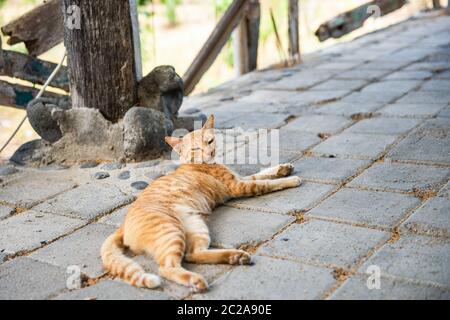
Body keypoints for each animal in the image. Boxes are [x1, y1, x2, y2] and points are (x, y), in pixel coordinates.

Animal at [100, 115, 300, 292]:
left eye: (210, 141)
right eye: (196, 148)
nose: (210, 153)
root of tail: (122, 225)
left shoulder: (240, 178)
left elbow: (262, 173)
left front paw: (283, 168)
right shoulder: (239, 186)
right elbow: (266, 183)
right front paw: (291, 180)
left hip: (195, 226)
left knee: (193, 254)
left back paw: (235, 257)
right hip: (171, 231)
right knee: (167, 267)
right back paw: (197, 280)